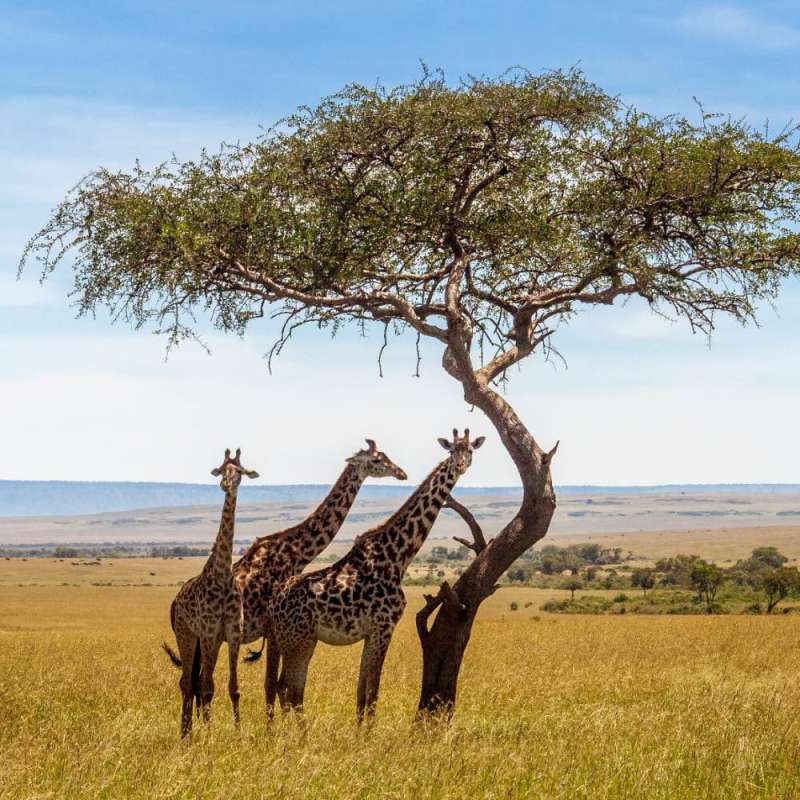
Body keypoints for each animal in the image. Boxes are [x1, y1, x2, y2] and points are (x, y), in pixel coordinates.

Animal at [162, 448, 259, 738]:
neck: (223, 575)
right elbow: (206, 687)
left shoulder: (231, 633)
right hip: (186, 634)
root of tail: (174, 602)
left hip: (210, 642)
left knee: (198, 680)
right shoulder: (206, 631)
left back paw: (190, 730)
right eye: (220, 470)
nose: (226, 484)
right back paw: (186, 734)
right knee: (188, 682)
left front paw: (237, 734)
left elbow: (232, 688)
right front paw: (208, 734)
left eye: (239, 472)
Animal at [231, 439, 407, 716]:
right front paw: (272, 727)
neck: (297, 551)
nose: (400, 473)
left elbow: (280, 685)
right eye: (376, 460)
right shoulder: (273, 627)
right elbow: (272, 684)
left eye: (387, 456)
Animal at [269, 429, 484, 721]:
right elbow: (373, 692)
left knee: (288, 688)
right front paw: (370, 732)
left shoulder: (370, 633)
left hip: (300, 639)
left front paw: (359, 730)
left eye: (469, 450)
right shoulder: (384, 626)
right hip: (297, 638)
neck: (398, 555)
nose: (460, 465)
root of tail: (274, 604)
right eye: (452, 451)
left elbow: (361, 693)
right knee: (289, 689)